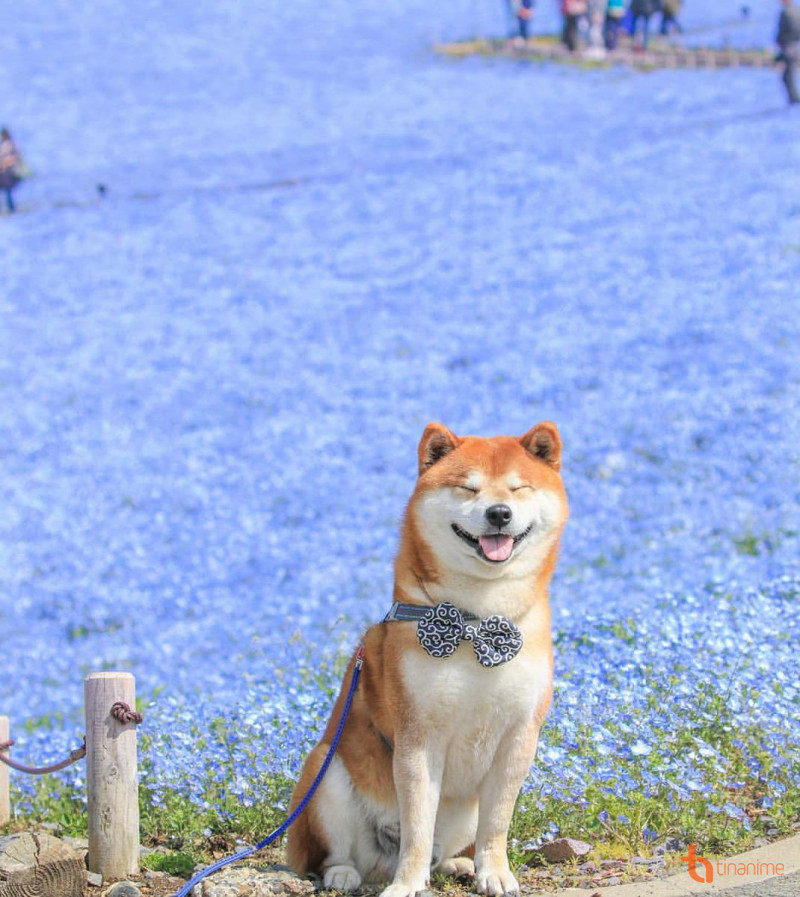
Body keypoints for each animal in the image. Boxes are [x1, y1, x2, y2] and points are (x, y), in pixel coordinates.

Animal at [288, 422, 568, 896]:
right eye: (468, 488)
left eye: (518, 488)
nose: (499, 513)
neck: (476, 620)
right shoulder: (417, 736)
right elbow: (418, 825)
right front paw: (405, 885)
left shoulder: (519, 736)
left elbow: (497, 823)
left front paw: (495, 873)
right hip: (326, 772)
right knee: (335, 852)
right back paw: (344, 873)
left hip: (462, 810)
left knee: (447, 846)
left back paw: (458, 864)